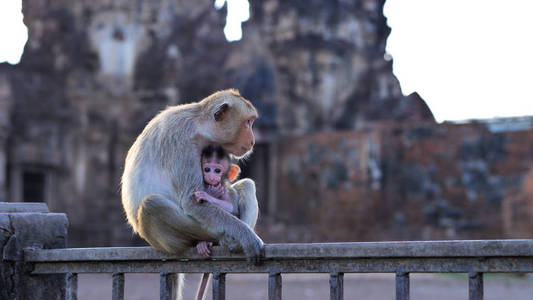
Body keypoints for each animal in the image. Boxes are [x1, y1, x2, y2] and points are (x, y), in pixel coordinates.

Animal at [119, 88, 262, 262]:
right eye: (248, 122)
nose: (252, 141)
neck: (198, 126)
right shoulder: (182, 142)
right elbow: (191, 201)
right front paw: (247, 237)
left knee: (247, 184)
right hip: (173, 240)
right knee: (151, 204)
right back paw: (219, 240)